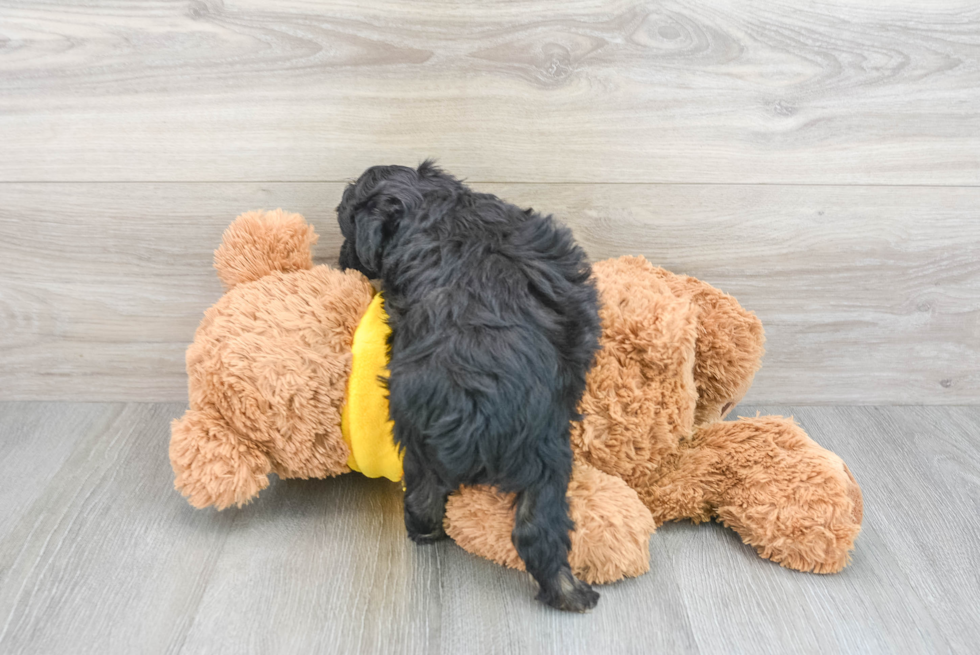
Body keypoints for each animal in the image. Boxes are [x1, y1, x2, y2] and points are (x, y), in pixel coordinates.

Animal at [336, 161, 600, 612]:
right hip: (547, 454)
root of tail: (472, 408)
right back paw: (571, 593)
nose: (339, 261)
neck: (434, 210)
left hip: (420, 440)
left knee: (424, 498)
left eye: (344, 225)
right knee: (535, 529)